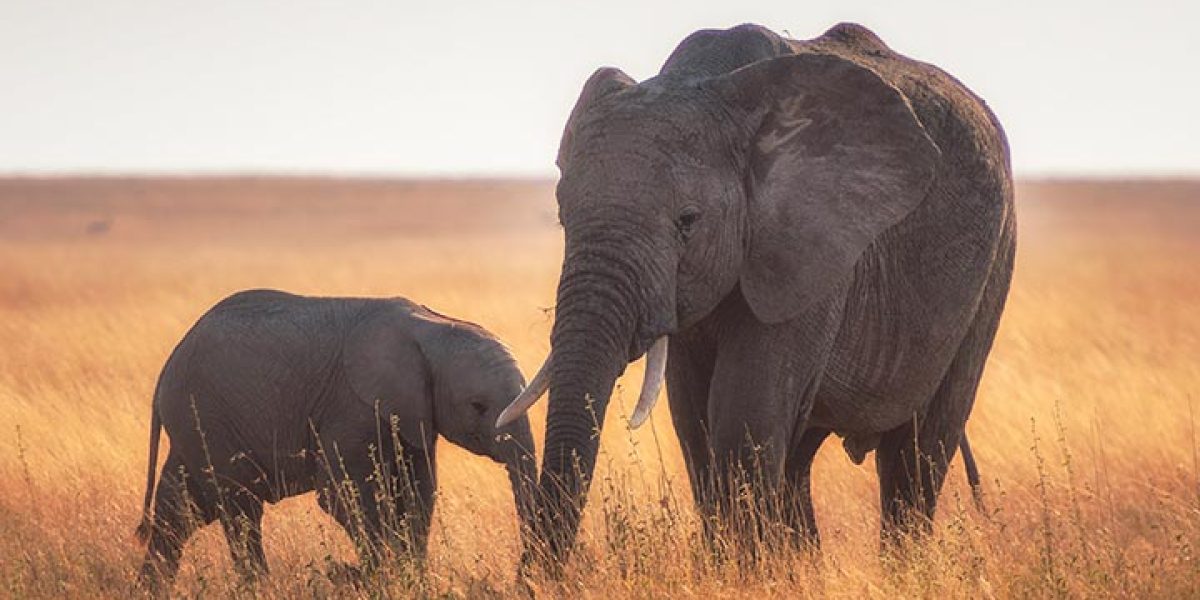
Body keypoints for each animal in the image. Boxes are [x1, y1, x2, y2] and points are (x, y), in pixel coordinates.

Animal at [134, 289, 537, 588]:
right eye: (478, 406)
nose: (522, 577)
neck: (432, 327)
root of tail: (167, 366)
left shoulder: (412, 415)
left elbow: (419, 492)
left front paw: (413, 580)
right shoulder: (351, 406)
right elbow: (343, 494)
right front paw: (380, 579)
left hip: (197, 424)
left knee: (180, 508)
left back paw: (152, 588)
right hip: (206, 416)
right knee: (239, 508)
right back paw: (260, 587)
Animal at [496, 22, 1014, 565]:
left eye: (687, 222)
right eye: (562, 217)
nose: (535, 576)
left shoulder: (812, 245)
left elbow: (743, 416)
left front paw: (746, 573)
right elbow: (695, 421)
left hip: (994, 263)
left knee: (918, 451)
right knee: (799, 458)